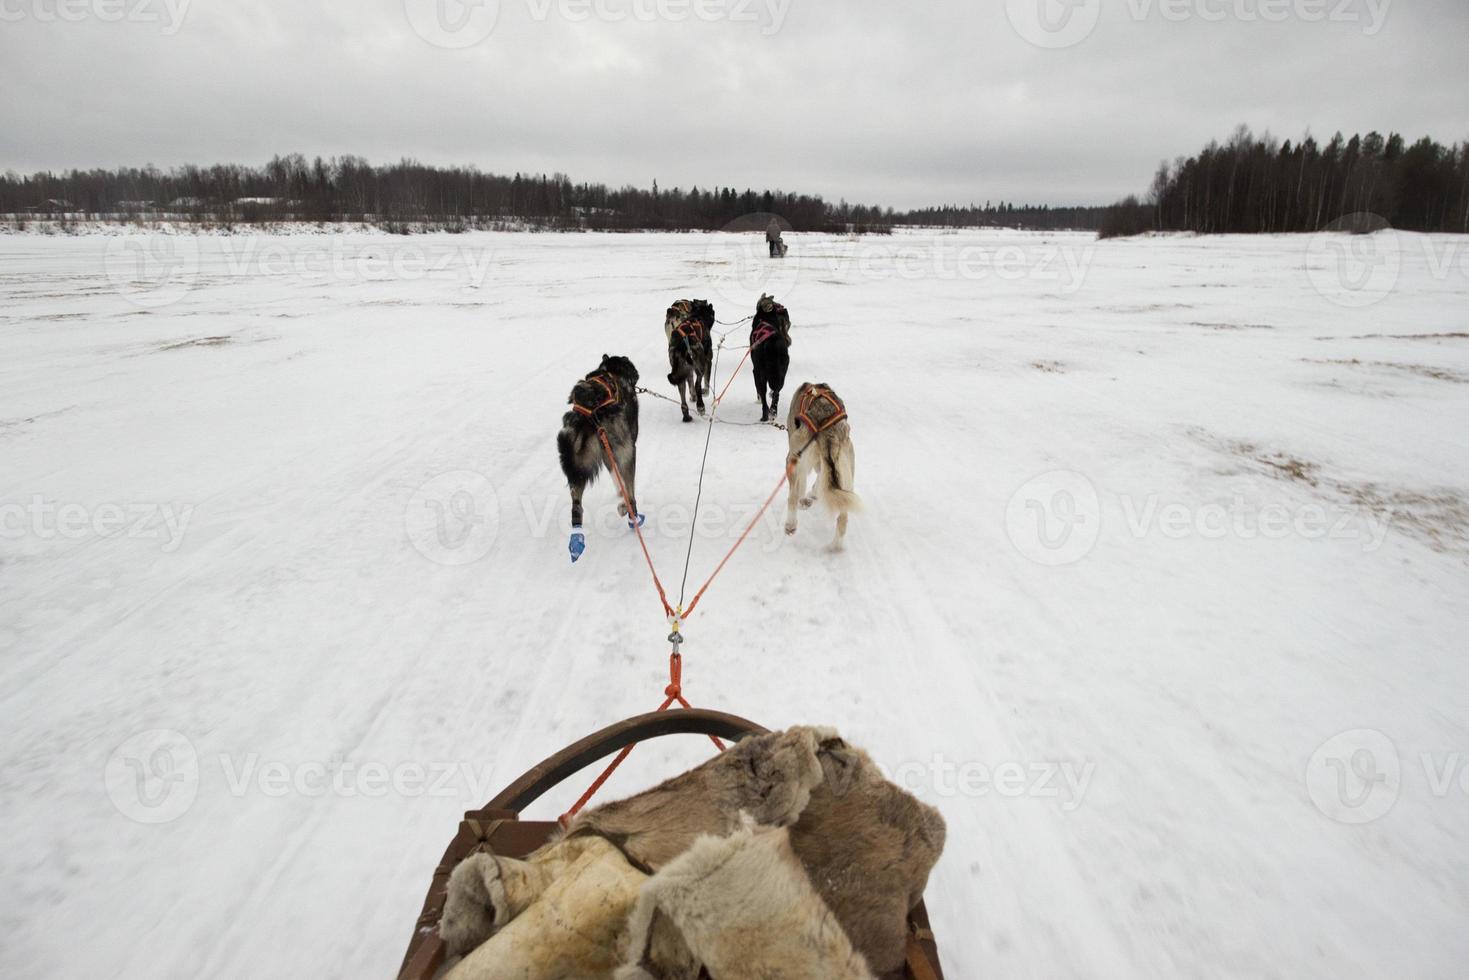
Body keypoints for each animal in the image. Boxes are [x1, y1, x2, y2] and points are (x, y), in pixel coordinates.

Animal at [552, 357, 640, 564]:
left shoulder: (607, 454)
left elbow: (615, 476)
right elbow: (622, 481)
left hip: (574, 460)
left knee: (576, 507)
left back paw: (576, 542)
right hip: (627, 451)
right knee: (631, 492)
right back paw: (632, 515)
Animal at [752, 295, 799, 426]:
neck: (765, 318)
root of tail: (772, 342)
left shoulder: (755, 371)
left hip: (760, 372)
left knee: (763, 395)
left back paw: (765, 416)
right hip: (782, 371)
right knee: (777, 392)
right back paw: (773, 412)